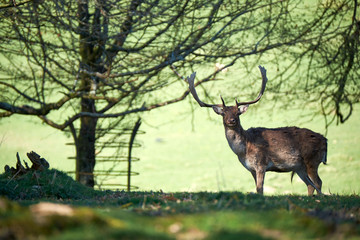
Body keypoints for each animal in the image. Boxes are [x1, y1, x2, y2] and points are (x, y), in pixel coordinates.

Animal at [187, 65, 328, 195]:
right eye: (224, 113)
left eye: (237, 113)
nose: (231, 120)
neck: (243, 150)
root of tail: (325, 140)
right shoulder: (251, 169)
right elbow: (257, 188)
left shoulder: (261, 164)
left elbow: (260, 188)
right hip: (299, 167)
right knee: (310, 185)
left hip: (312, 160)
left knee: (318, 182)